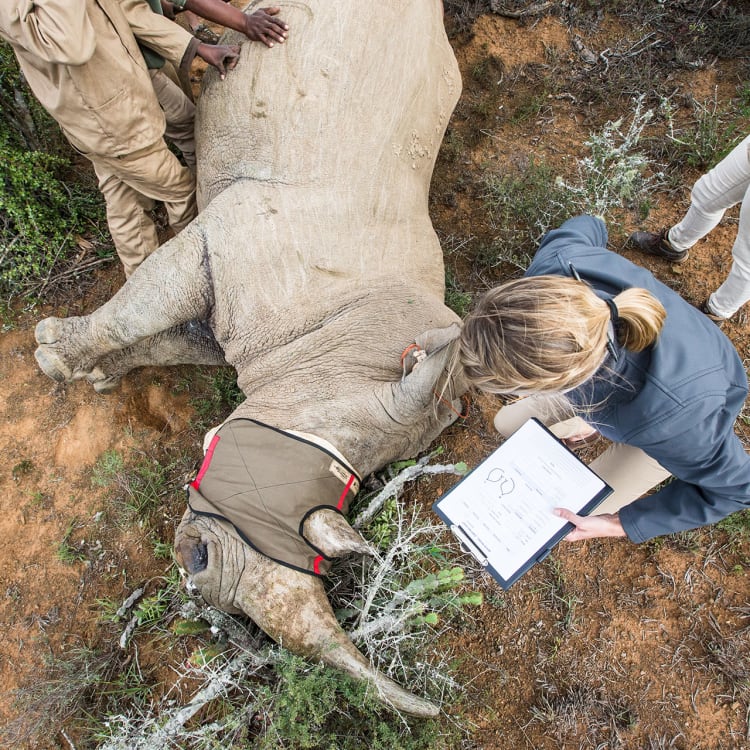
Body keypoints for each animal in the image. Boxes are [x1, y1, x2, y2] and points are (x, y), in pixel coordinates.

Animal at [38, 0, 468, 716]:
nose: (202, 569)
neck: (331, 353)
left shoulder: (242, 320)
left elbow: (168, 335)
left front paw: (91, 371)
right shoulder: (231, 240)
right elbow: (139, 307)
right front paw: (54, 355)